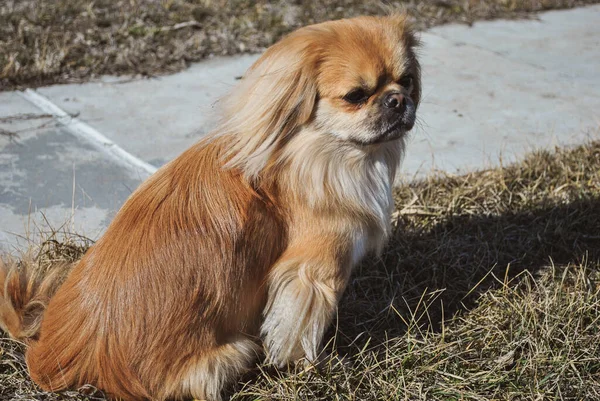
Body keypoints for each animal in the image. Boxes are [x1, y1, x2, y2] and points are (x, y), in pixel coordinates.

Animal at [0, 13, 422, 400]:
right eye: (356, 95)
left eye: (407, 81)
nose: (397, 99)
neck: (318, 152)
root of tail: (57, 356)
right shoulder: (312, 274)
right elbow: (299, 331)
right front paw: (312, 369)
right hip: (233, 352)